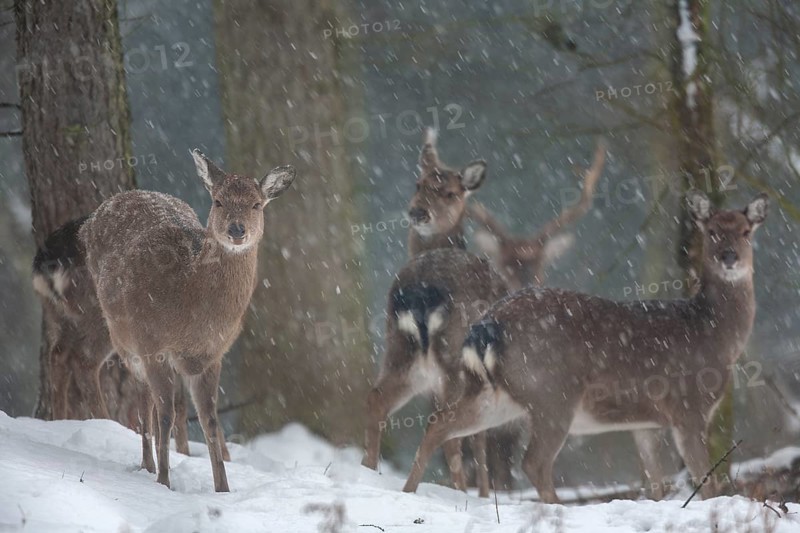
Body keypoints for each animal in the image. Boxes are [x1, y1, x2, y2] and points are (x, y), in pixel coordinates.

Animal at [80, 150, 295, 492]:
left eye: (256, 204)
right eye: (218, 201)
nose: (237, 230)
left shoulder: (211, 356)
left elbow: (210, 419)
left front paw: (223, 487)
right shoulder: (153, 343)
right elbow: (165, 414)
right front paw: (164, 480)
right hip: (125, 338)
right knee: (145, 400)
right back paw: (148, 464)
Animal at [362, 129, 508, 498]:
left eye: (450, 192)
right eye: (419, 183)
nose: (418, 212)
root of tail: (420, 292)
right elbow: (479, 437)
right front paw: (484, 494)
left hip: (400, 348)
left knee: (376, 398)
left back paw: (368, 471)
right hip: (453, 357)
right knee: (447, 428)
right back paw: (451, 491)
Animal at [402, 190, 768, 503]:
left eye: (746, 231)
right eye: (712, 231)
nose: (730, 257)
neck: (712, 333)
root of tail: (488, 325)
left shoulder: (645, 423)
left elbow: (656, 484)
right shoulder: (689, 407)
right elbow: (707, 482)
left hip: (497, 394)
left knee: (438, 425)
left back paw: (408, 491)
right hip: (553, 394)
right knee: (534, 462)